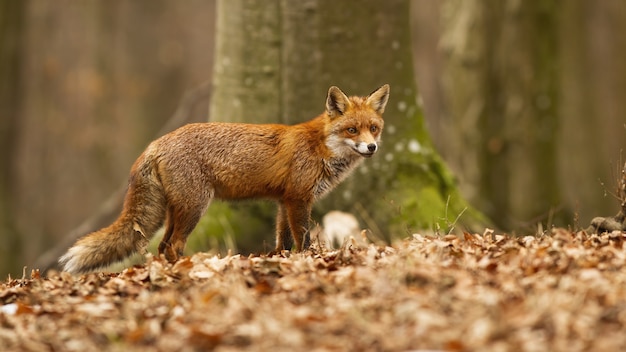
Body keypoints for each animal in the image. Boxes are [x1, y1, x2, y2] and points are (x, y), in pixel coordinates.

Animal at [61, 84, 388, 274]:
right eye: (352, 130)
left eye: (373, 128)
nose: (371, 148)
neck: (320, 147)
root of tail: (156, 143)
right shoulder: (298, 199)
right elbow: (303, 239)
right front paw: (306, 261)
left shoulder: (283, 201)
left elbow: (282, 240)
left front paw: (282, 259)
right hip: (195, 207)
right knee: (174, 245)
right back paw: (187, 270)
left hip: (176, 210)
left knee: (162, 246)